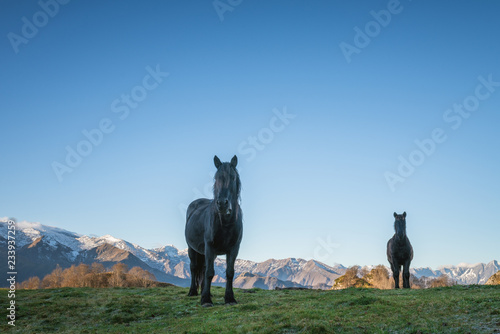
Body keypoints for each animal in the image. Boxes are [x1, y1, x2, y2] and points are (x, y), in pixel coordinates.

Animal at [186, 155, 244, 306]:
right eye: (216, 178)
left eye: (233, 177)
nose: (222, 204)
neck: (226, 223)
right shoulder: (209, 246)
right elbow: (210, 273)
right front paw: (205, 300)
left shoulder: (234, 248)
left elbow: (229, 272)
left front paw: (229, 298)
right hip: (192, 248)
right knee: (194, 267)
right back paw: (193, 292)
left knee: (203, 268)